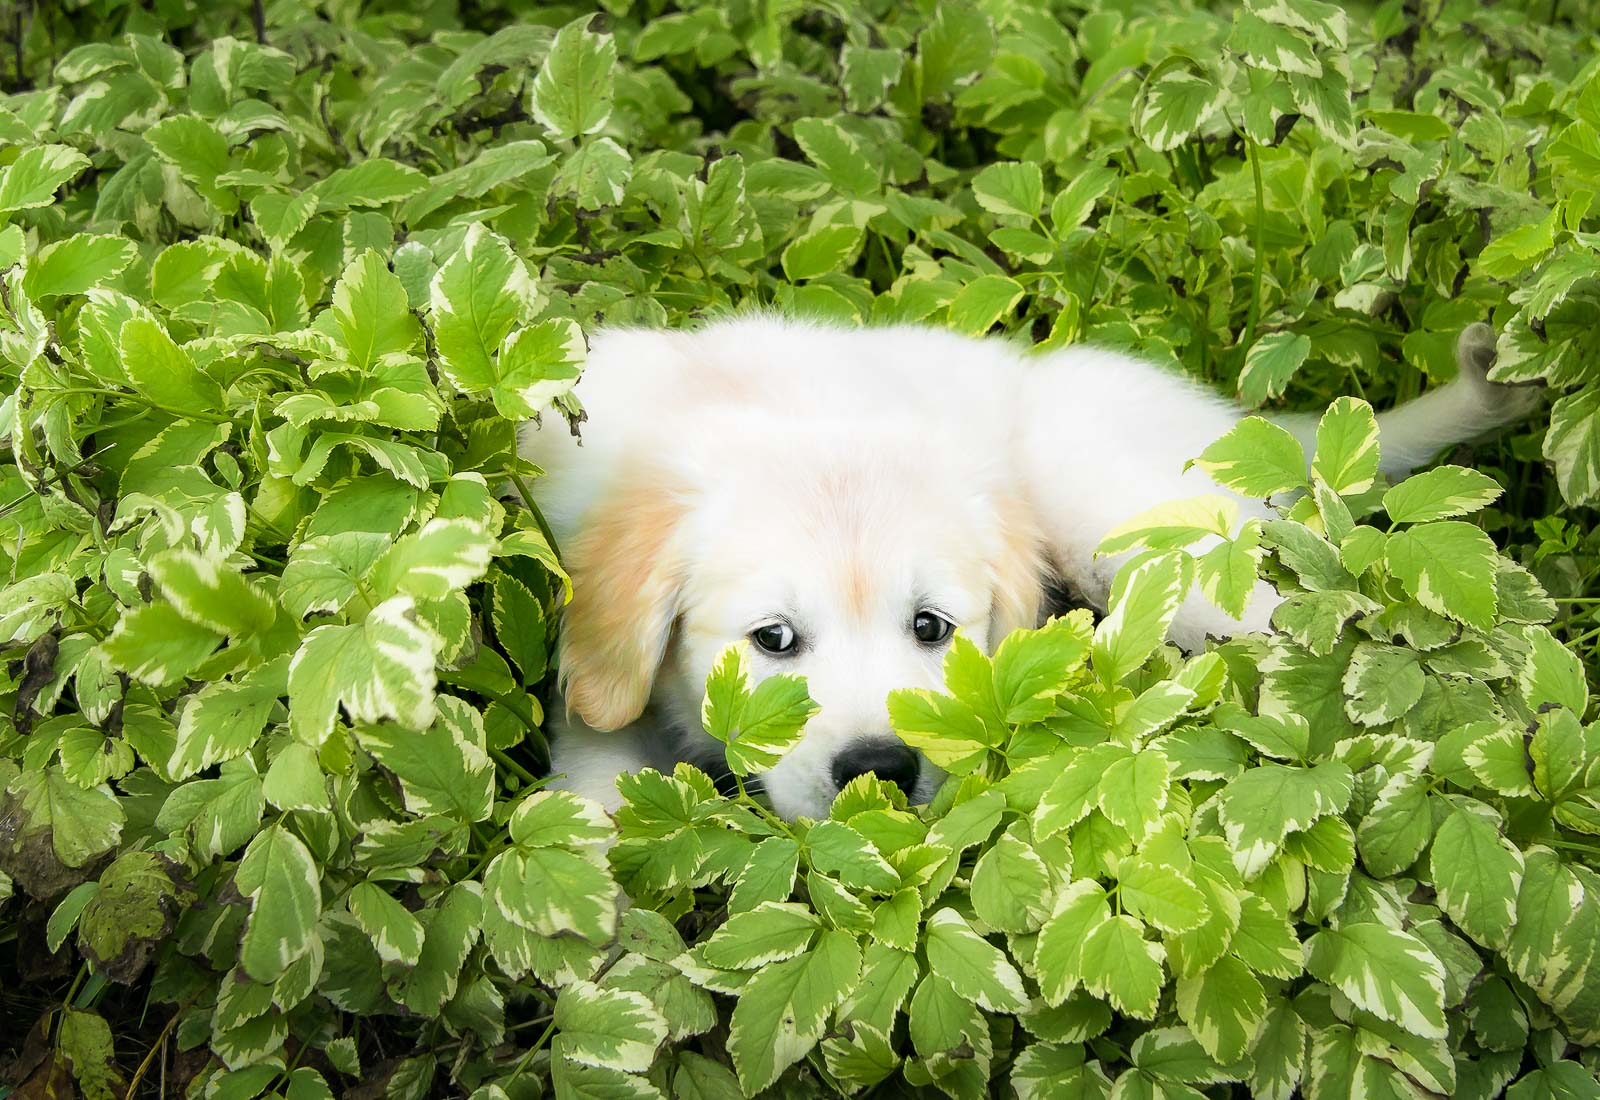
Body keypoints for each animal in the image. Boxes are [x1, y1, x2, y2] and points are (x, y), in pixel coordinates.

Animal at [521, 313, 1536, 818]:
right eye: (772, 641)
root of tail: (1234, 430)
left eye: (930, 628)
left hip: (1116, 509)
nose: (881, 768)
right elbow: (599, 753)